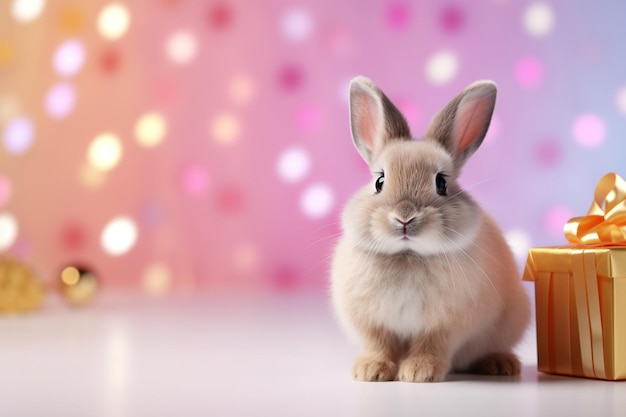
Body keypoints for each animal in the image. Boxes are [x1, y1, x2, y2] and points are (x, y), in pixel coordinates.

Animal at [330, 76, 528, 382]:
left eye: (441, 183)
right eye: (379, 182)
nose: (404, 217)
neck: (408, 254)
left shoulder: (446, 326)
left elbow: (432, 345)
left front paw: (419, 372)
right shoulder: (373, 325)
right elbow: (379, 345)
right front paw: (371, 371)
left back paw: (501, 365)